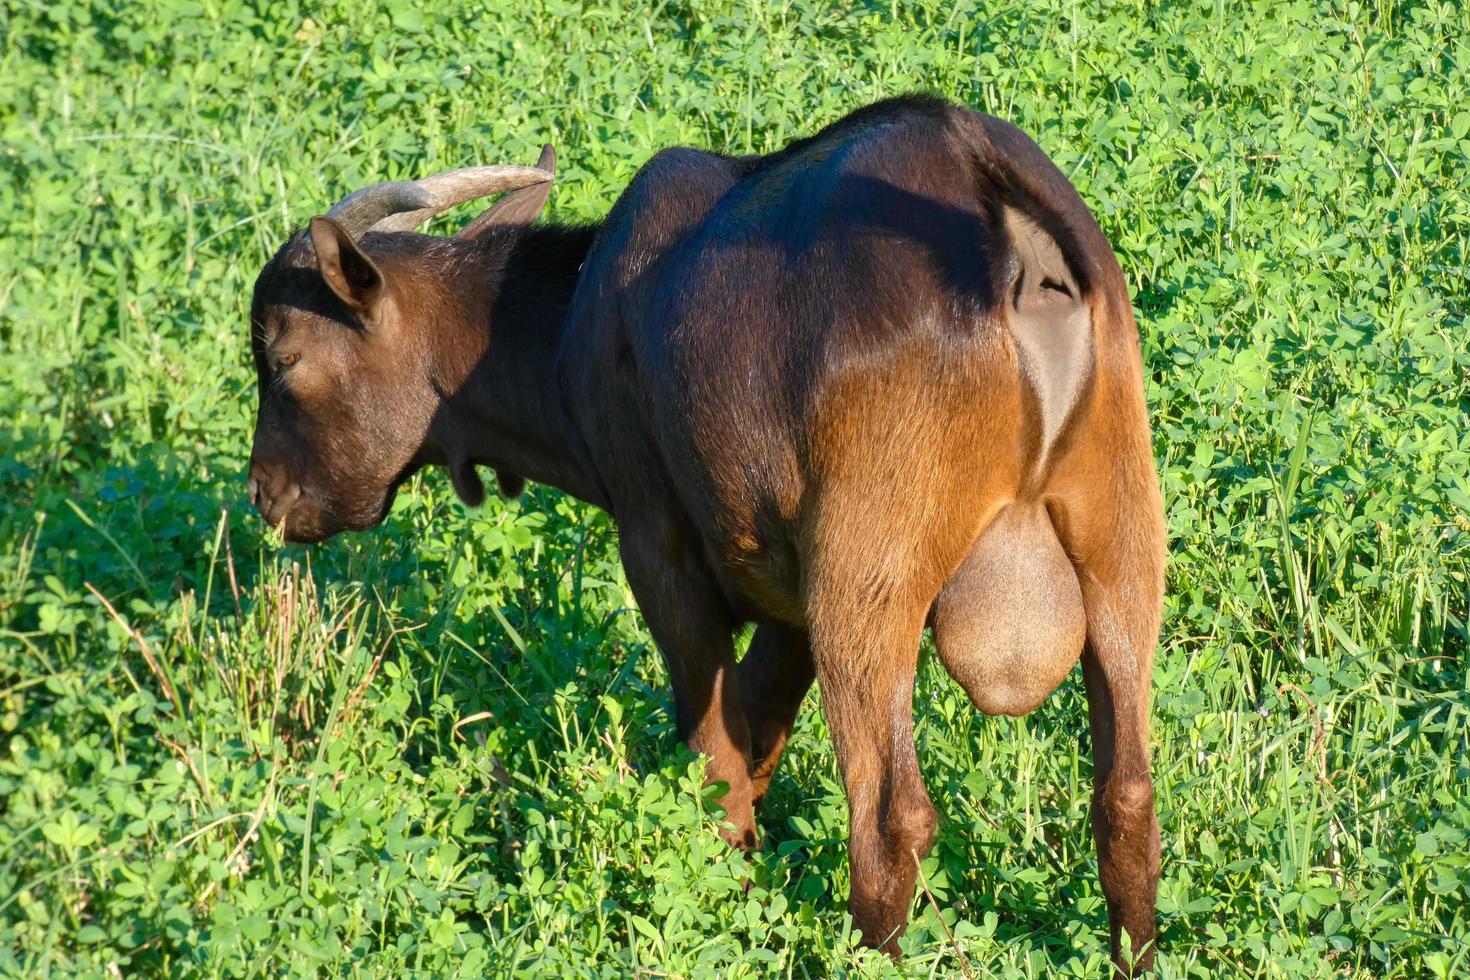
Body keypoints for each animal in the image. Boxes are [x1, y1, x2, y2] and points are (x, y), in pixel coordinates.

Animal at [246, 97, 1164, 975]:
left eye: (283, 360)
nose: (265, 495)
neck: (577, 319)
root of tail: (999, 216)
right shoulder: (788, 590)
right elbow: (756, 736)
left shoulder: (662, 547)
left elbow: (716, 758)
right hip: (1119, 543)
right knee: (1126, 794)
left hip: (868, 575)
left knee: (888, 818)